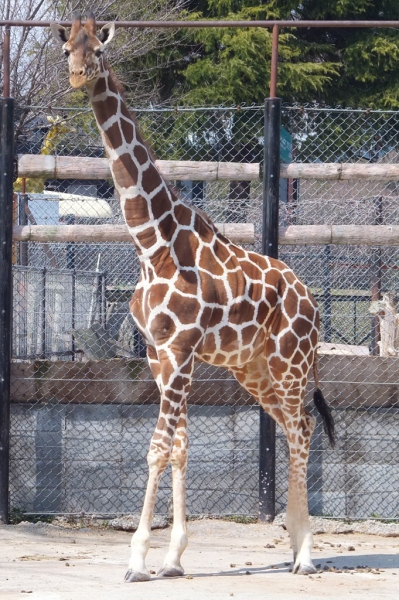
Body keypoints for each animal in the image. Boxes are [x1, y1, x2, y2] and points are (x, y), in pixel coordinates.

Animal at [50, 14, 338, 584]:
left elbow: (158, 448)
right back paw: (295, 544)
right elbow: (180, 448)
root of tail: (312, 302)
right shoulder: (158, 354)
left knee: (302, 428)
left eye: (100, 50)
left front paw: (138, 559)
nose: (76, 76)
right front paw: (173, 558)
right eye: (68, 46)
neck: (152, 243)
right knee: (295, 424)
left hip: (292, 363)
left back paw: (306, 555)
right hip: (253, 369)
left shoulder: (181, 351)